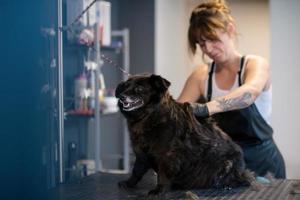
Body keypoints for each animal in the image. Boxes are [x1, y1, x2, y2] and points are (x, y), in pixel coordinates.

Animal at [115, 74, 255, 195]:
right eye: (125, 87)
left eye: (139, 88)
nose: (121, 96)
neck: (149, 116)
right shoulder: (141, 153)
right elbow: (136, 171)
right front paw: (129, 183)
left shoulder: (167, 155)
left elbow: (162, 174)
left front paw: (159, 190)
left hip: (227, 164)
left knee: (240, 180)